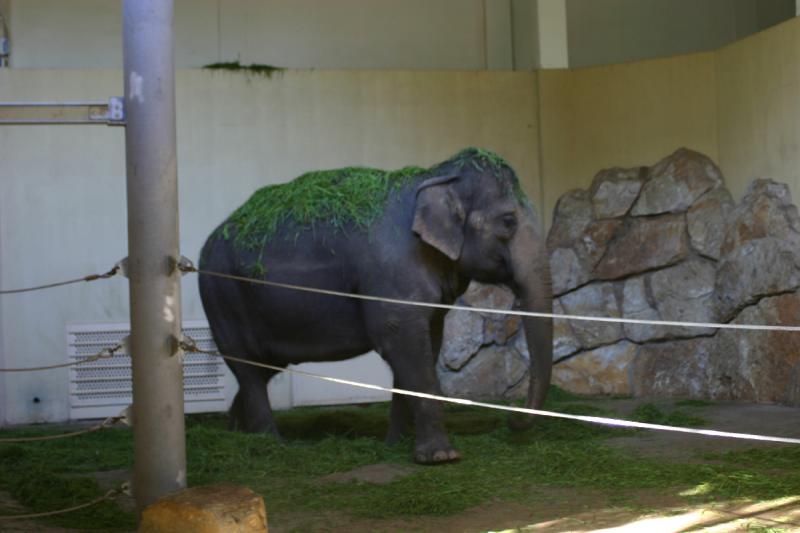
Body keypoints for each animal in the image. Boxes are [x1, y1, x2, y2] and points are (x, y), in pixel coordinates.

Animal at [197, 148, 552, 464]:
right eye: (508, 221)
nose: (512, 420)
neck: (434, 176)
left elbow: (427, 343)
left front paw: (397, 445)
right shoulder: (392, 272)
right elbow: (402, 341)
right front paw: (441, 457)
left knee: (261, 367)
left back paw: (237, 435)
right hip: (222, 297)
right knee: (245, 364)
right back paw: (271, 445)